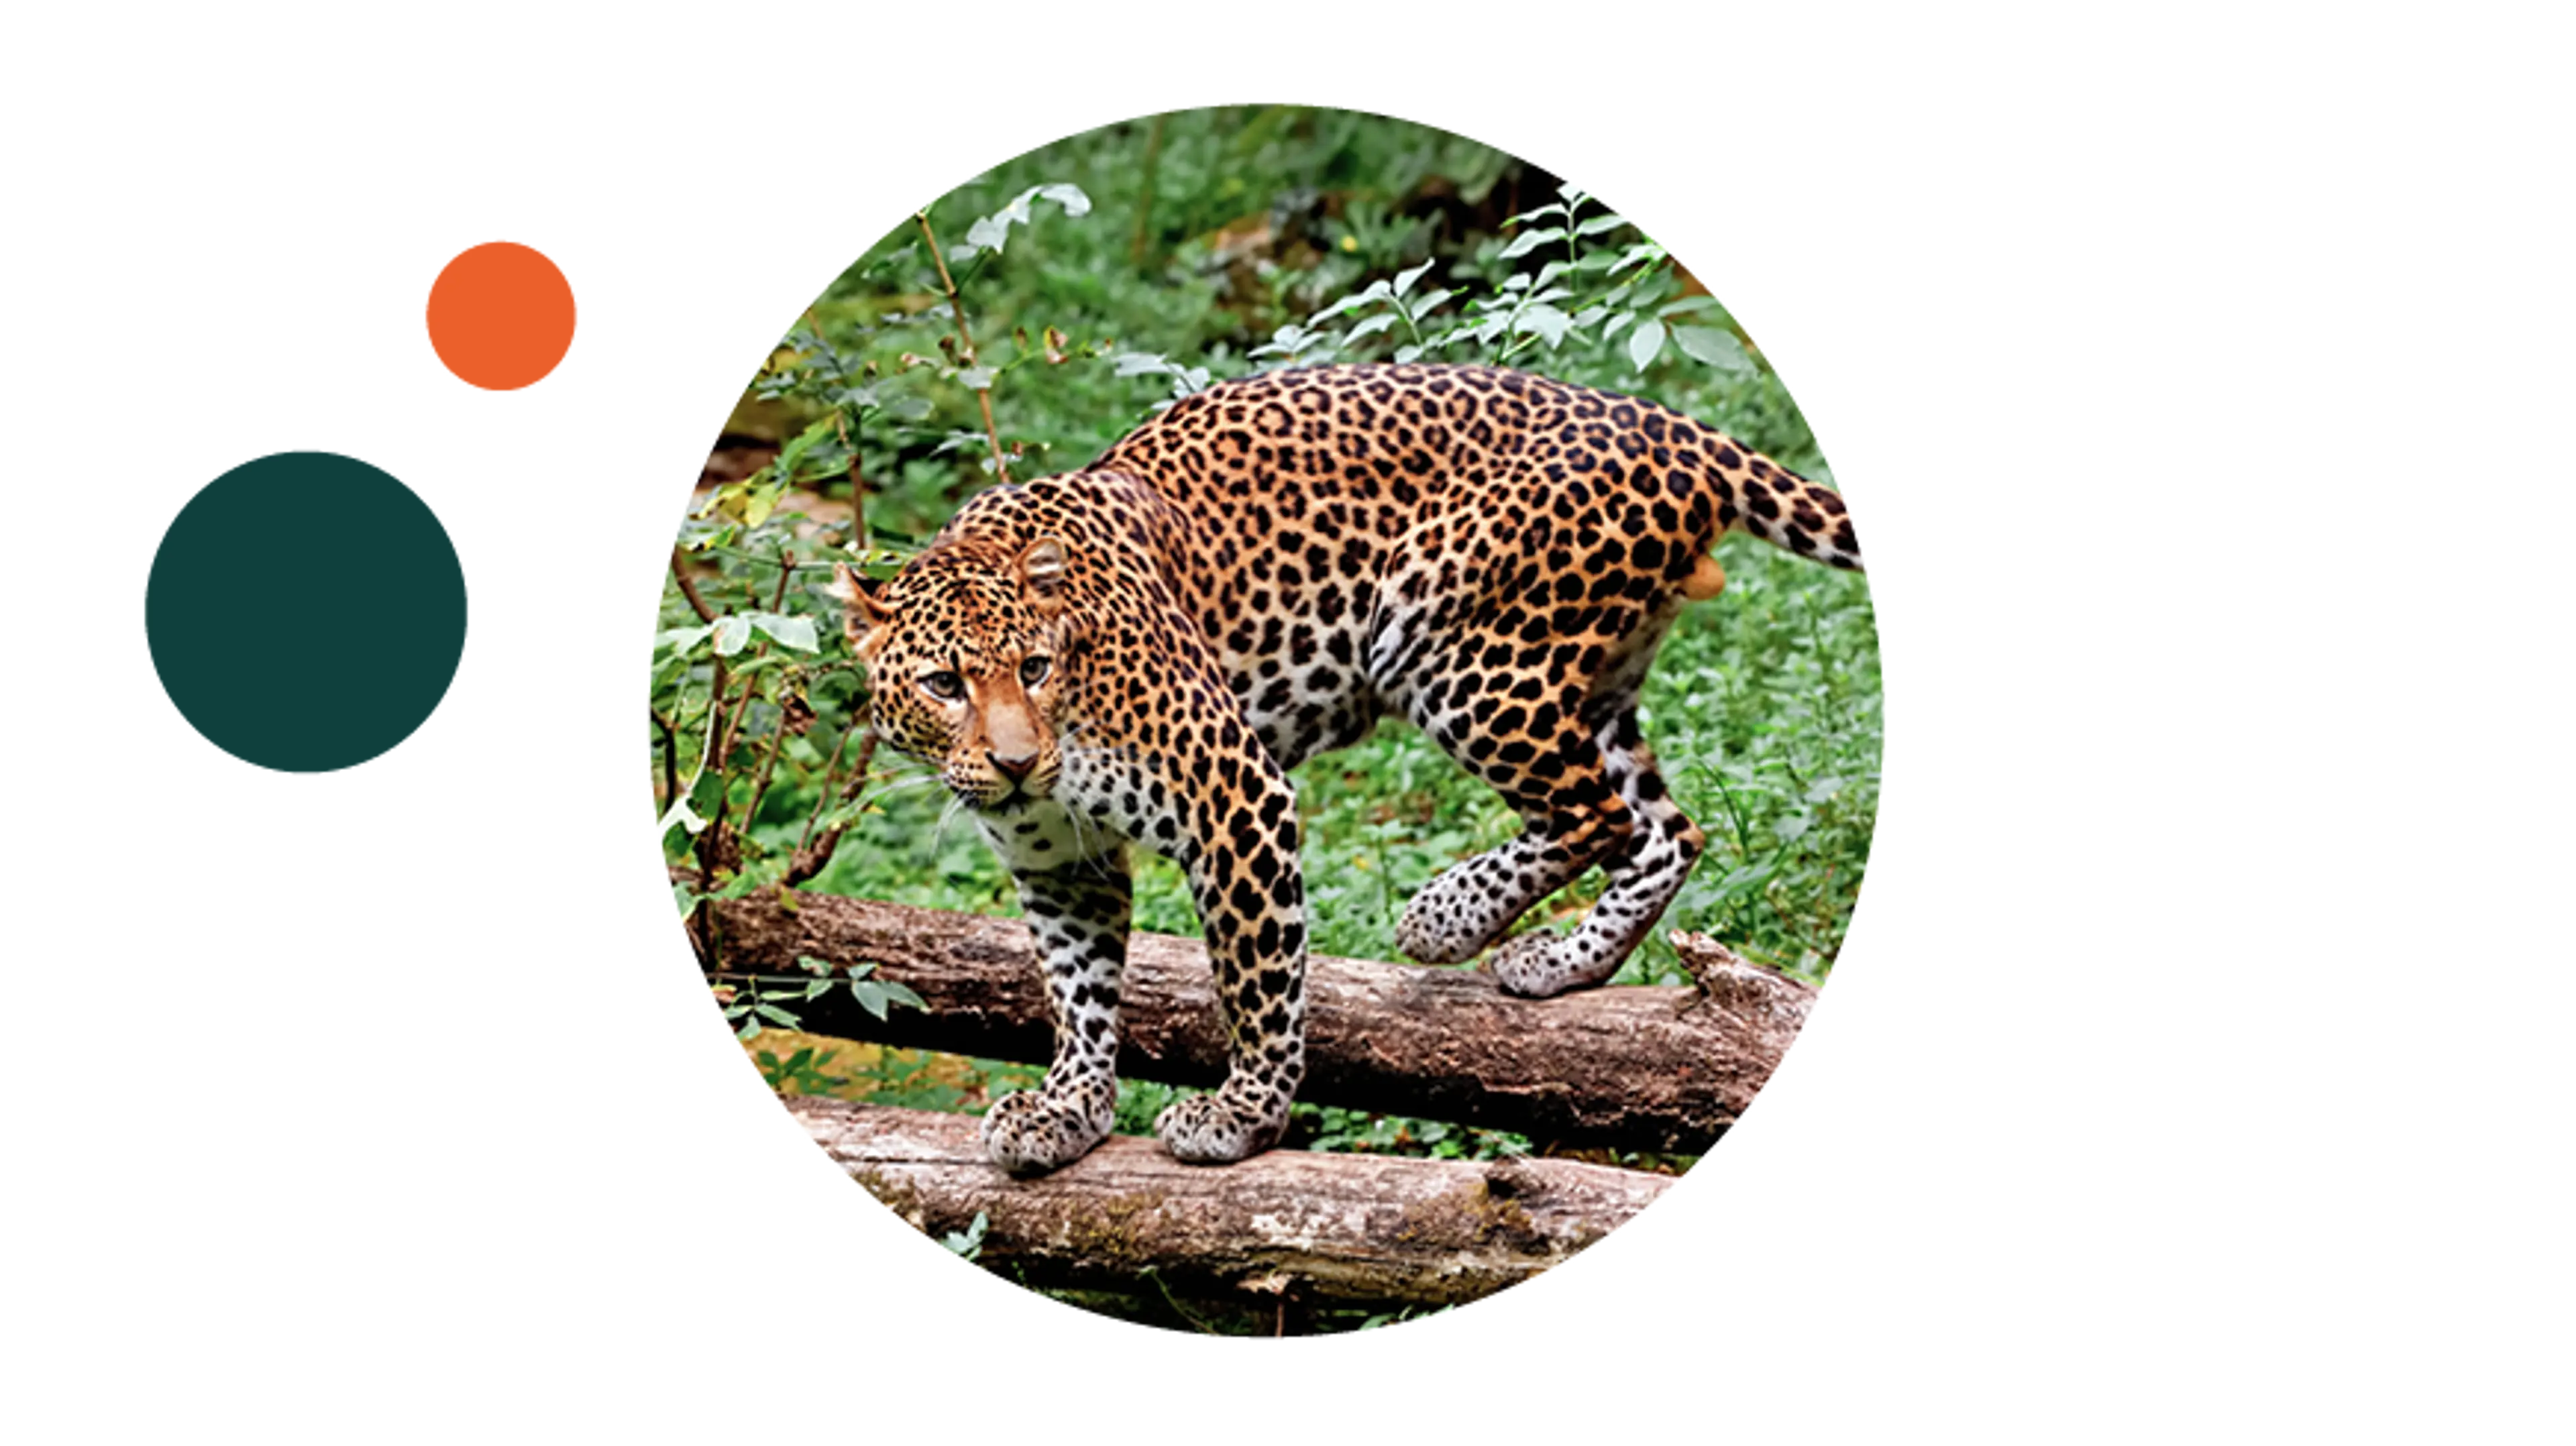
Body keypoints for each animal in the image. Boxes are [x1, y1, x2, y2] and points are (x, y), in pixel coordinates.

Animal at [828, 363, 1868, 1174]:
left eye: (1035, 668)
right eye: (944, 683)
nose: (1015, 764)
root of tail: (1669, 424)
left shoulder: (1232, 795)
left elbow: (1254, 975)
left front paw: (1241, 1115)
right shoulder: (1060, 862)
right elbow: (1076, 992)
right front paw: (1069, 1109)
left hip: (1450, 649)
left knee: (1595, 814)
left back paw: (1448, 916)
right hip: (1590, 679)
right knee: (1665, 827)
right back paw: (1561, 960)